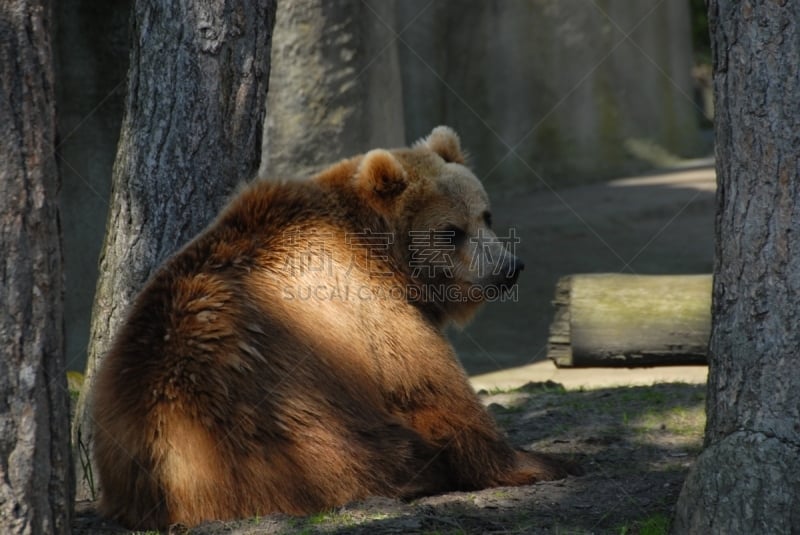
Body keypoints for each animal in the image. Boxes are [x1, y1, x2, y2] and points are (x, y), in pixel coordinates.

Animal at [90, 126, 572, 532]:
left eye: (486, 216)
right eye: (451, 232)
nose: (509, 268)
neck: (379, 248)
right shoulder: (370, 307)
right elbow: (432, 389)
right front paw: (543, 462)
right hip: (285, 425)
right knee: (374, 457)